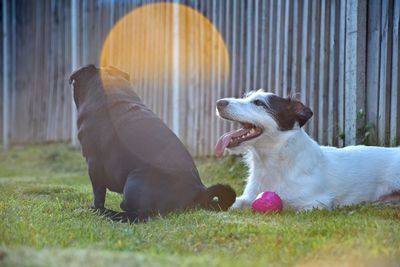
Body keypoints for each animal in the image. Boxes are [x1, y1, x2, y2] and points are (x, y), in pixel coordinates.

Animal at [216, 90, 400, 211]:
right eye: (245, 97)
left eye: (259, 103)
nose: (219, 103)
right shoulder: (248, 197)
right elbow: (235, 202)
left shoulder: (316, 203)